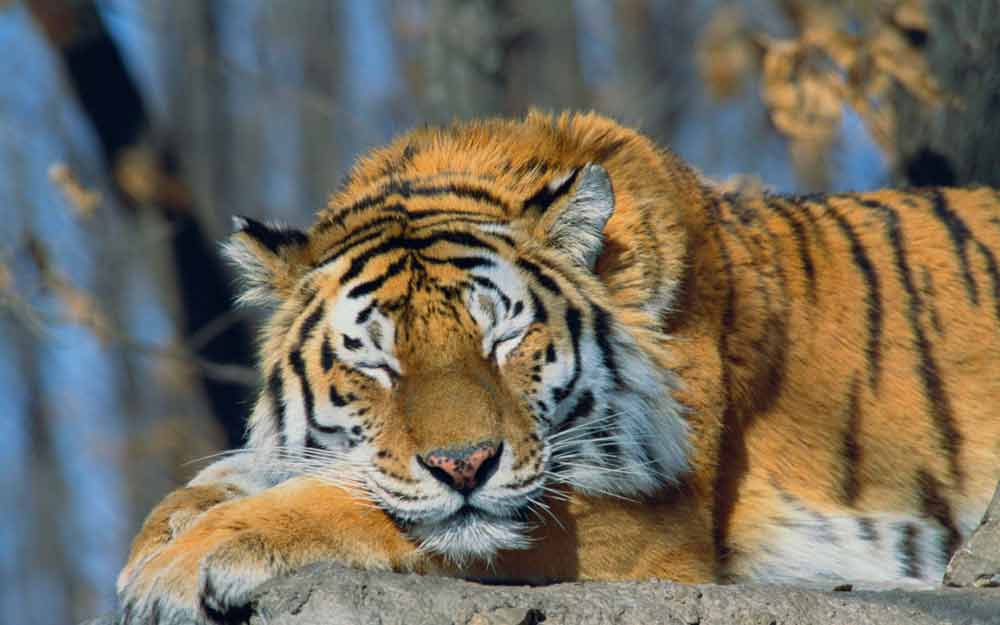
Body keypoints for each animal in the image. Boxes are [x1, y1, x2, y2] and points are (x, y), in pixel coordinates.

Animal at [117, 111, 1000, 624]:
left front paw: (175, 566)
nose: (464, 465)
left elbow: (350, 505)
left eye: (503, 340)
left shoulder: (642, 530)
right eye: (378, 363)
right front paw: (162, 533)